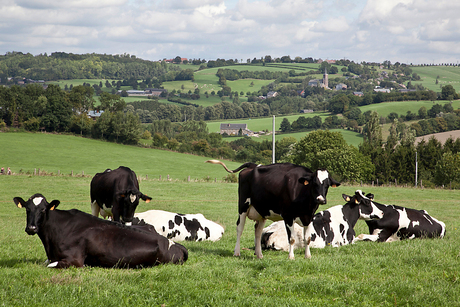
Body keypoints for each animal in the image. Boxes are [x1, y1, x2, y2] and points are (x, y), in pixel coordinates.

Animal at [207, 160, 340, 262]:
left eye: (327, 185)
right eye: (314, 183)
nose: (321, 199)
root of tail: (253, 165)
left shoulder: (308, 217)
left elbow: (307, 238)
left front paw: (308, 256)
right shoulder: (288, 216)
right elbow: (292, 239)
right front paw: (291, 257)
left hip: (261, 212)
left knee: (258, 231)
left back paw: (259, 254)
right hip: (243, 206)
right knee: (239, 228)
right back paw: (237, 252)